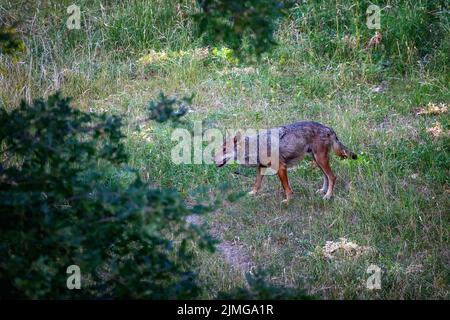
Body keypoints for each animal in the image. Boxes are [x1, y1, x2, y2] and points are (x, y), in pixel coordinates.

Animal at [213, 121, 356, 201]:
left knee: (332, 176)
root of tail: (328, 128)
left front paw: (288, 201)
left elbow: (286, 188)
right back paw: (323, 191)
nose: (213, 160)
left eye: (225, 150)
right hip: (317, 160)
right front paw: (252, 194)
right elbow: (256, 184)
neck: (255, 146)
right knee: (326, 176)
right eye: (218, 150)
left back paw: (328, 196)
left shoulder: (281, 167)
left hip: (320, 160)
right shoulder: (261, 167)